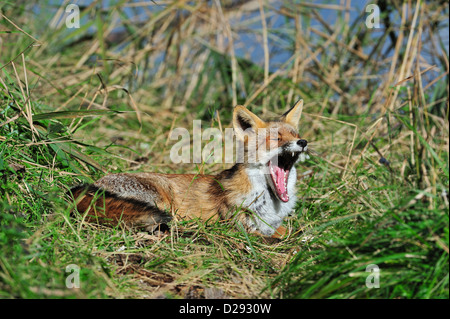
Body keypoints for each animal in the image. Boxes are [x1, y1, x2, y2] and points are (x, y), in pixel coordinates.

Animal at [70, 101, 310, 239]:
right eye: (276, 138)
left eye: (295, 134)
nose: (303, 142)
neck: (269, 203)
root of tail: (81, 189)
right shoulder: (240, 226)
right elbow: (283, 236)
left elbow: (288, 230)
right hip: (163, 201)